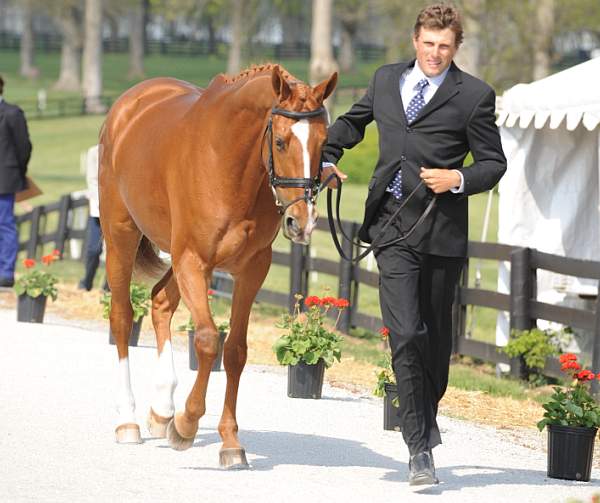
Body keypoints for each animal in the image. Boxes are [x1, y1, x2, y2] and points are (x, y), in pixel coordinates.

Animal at [96, 64, 336, 468]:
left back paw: (161, 411)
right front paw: (187, 424)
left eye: (323, 142)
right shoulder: (194, 261)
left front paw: (230, 442)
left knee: (160, 303)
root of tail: (128, 104)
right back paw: (128, 421)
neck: (228, 163)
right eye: (281, 142)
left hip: (175, 259)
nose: (301, 222)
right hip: (122, 238)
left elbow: (235, 351)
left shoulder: (250, 270)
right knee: (122, 317)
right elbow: (208, 340)